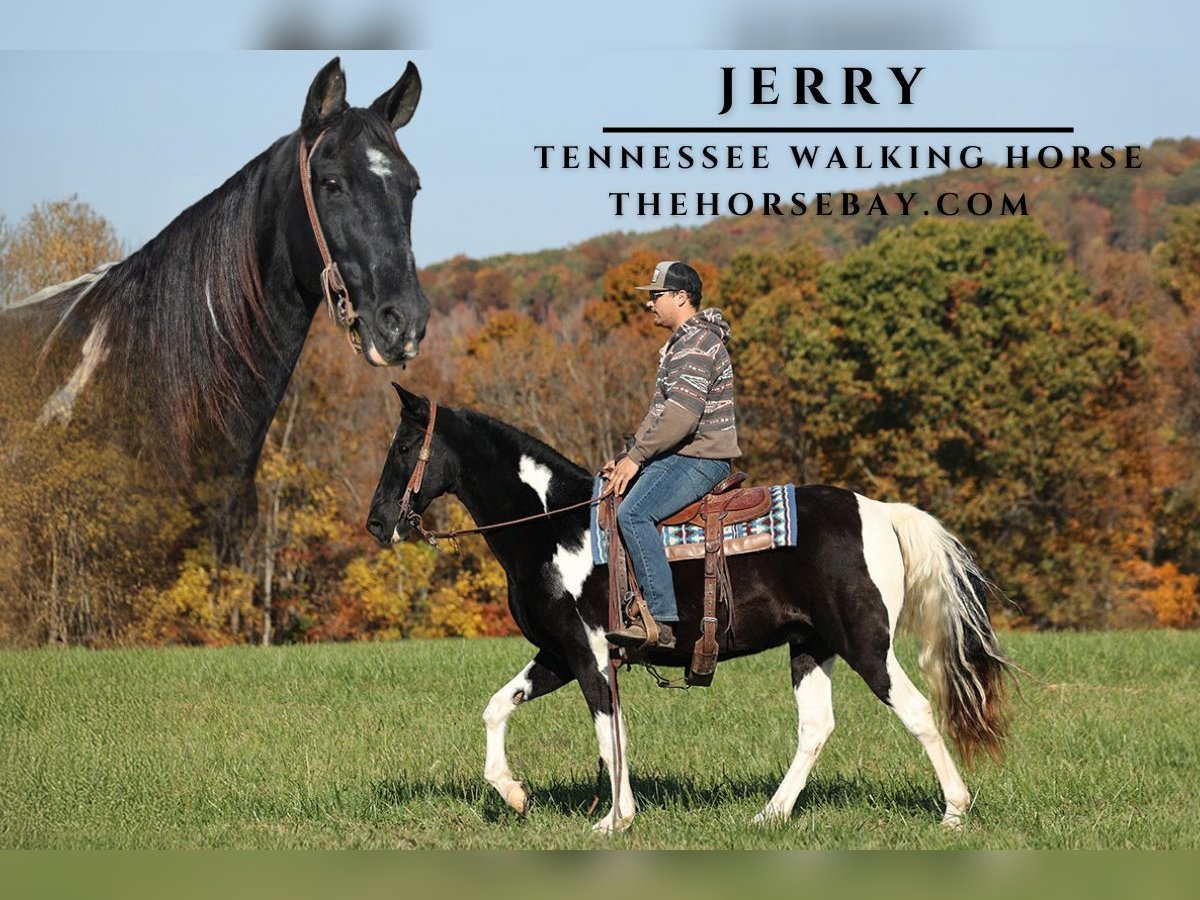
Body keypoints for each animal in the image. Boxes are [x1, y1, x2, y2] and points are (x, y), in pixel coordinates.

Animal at [367, 391, 1012, 835]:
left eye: (403, 447)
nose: (377, 523)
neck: (554, 527)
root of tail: (878, 510)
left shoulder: (587, 653)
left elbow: (609, 734)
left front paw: (615, 820)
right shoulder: (559, 652)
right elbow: (498, 707)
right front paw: (514, 794)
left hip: (866, 644)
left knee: (918, 712)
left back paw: (954, 812)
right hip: (810, 645)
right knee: (816, 727)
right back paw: (770, 815)